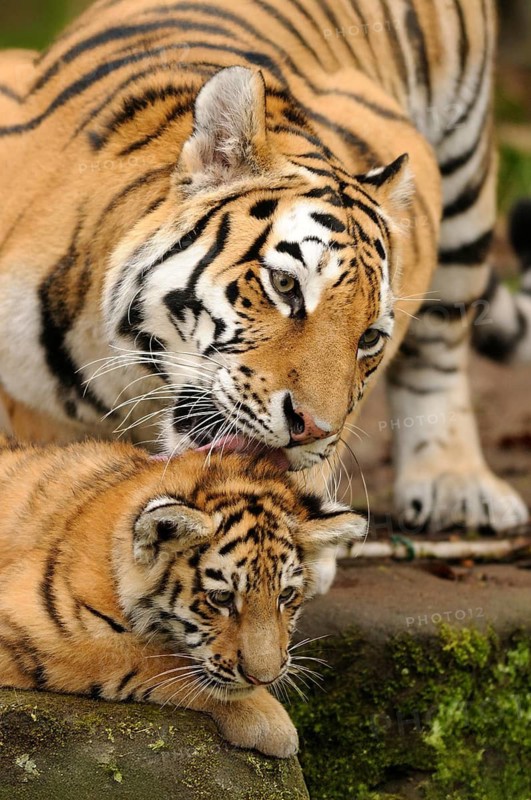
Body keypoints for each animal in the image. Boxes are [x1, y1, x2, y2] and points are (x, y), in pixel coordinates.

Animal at [0, 0, 529, 540]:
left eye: (369, 338)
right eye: (284, 285)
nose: (310, 429)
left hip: (463, 178)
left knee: (441, 347)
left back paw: (455, 482)